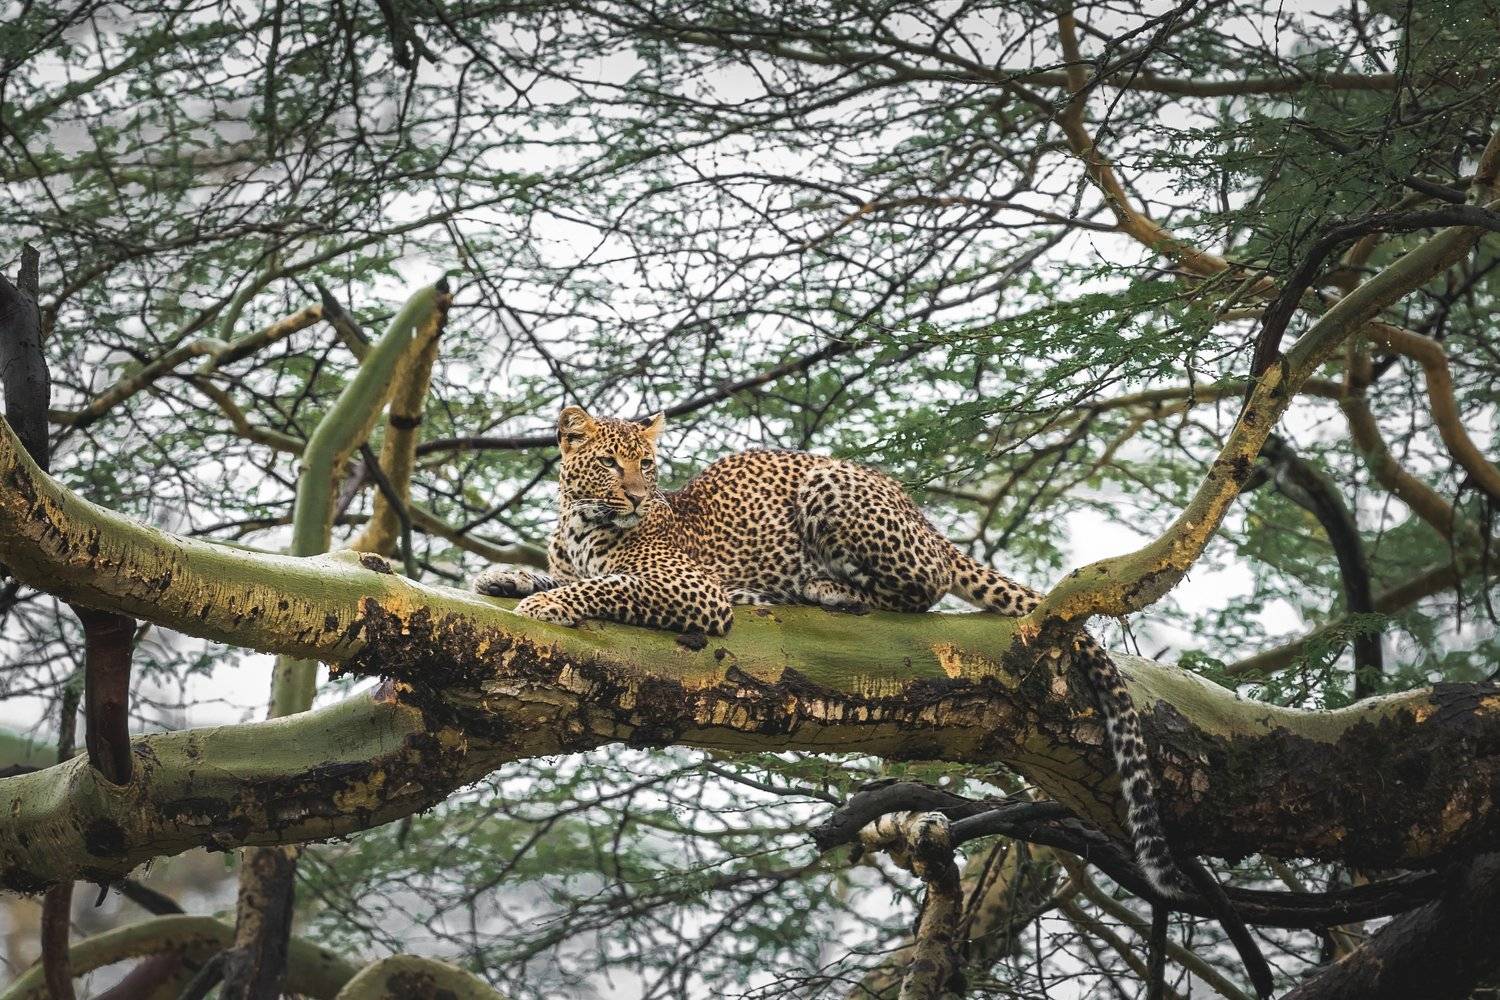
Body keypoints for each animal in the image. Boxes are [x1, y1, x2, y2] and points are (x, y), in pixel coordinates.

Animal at [472, 405, 1189, 899]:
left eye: (644, 465)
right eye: (608, 465)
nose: (637, 495)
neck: (580, 522)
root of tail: (925, 518)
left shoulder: (692, 590)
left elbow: (603, 587)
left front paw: (544, 607)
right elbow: (559, 575)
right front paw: (507, 578)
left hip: (833, 488)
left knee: (922, 588)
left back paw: (823, 588)